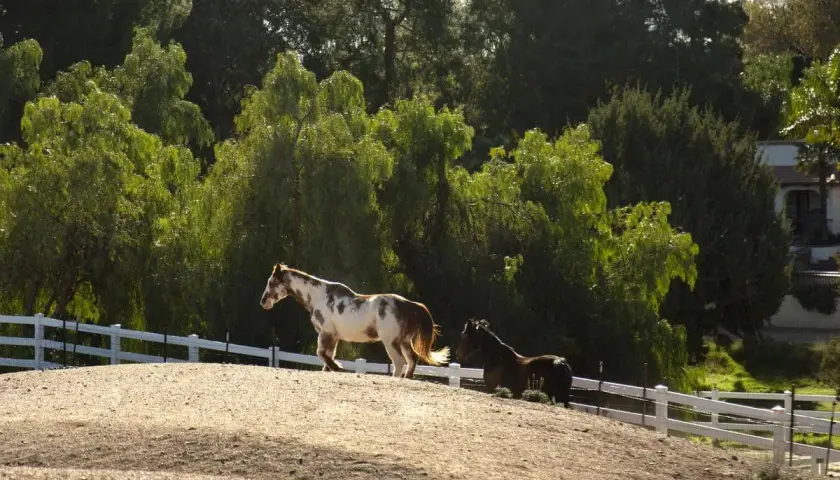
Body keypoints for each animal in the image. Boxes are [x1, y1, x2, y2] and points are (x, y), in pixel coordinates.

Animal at [259, 263, 450, 379]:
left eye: (272, 282)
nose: (263, 302)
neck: (319, 297)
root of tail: (409, 305)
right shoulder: (333, 337)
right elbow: (327, 356)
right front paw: (331, 368)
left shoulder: (326, 333)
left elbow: (321, 354)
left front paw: (337, 367)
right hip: (403, 341)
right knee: (412, 359)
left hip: (391, 342)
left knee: (399, 362)